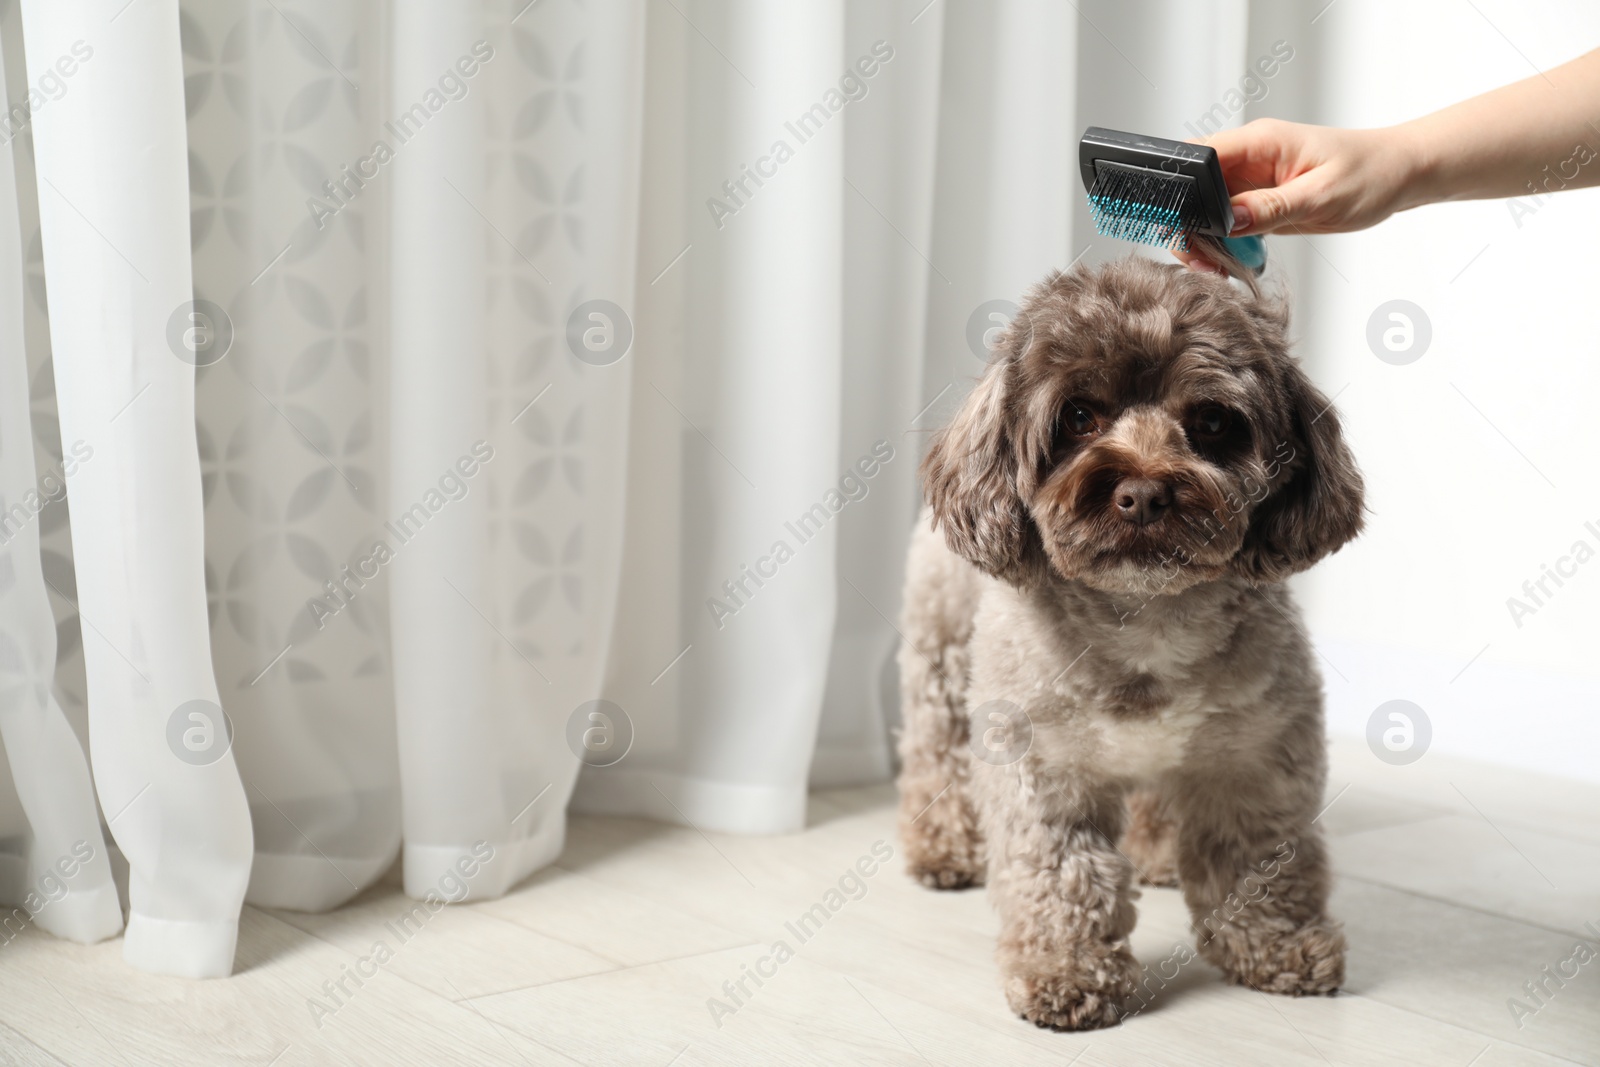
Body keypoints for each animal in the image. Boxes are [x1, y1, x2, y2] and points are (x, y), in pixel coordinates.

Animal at [902, 254, 1363, 1030]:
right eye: (1078, 416)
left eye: (1212, 420)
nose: (1144, 493)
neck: (1145, 618)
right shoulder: (1044, 770)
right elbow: (1062, 874)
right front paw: (1067, 971)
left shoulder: (1255, 759)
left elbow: (1260, 860)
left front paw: (1276, 946)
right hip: (939, 654)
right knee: (936, 751)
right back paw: (944, 847)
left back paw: (1156, 851)